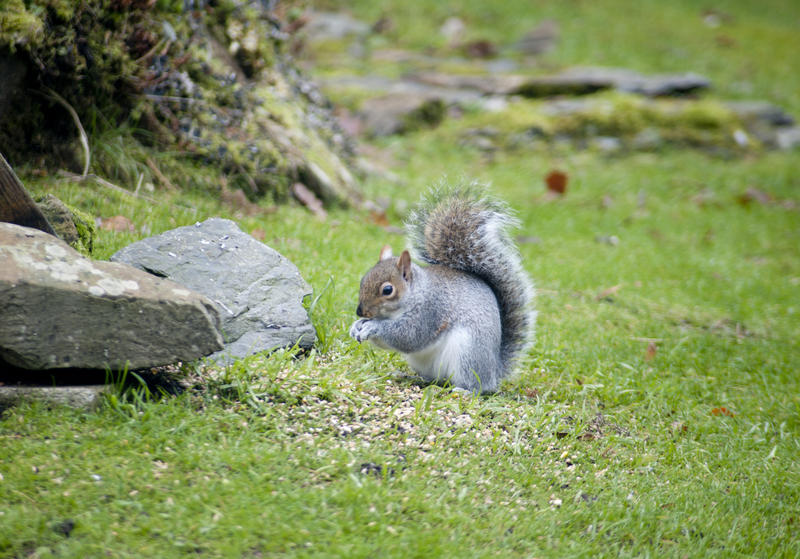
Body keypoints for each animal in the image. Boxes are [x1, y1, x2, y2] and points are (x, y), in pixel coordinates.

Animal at [346, 185, 536, 394]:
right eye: (363, 279)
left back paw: (464, 391)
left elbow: (408, 336)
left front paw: (373, 326)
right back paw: (410, 376)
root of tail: (494, 370)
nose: (360, 311)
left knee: (477, 385)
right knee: (435, 378)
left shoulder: (431, 310)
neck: (416, 293)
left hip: (468, 353)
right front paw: (357, 325)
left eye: (387, 290)